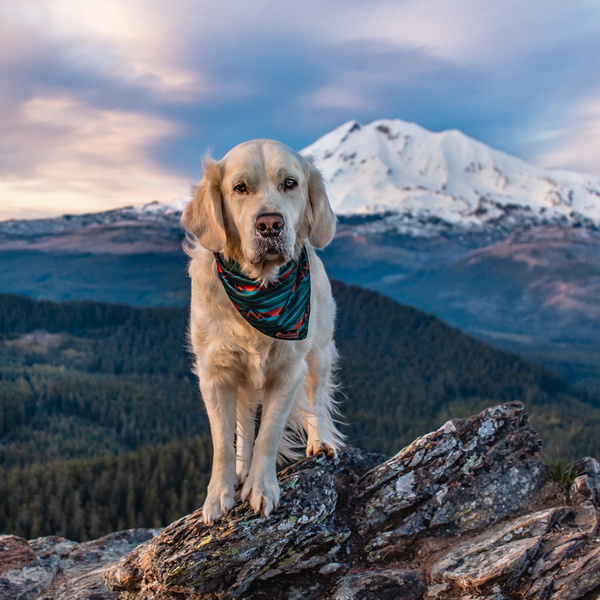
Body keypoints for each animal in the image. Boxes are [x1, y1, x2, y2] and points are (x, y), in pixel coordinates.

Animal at [182, 138, 342, 524]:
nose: (270, 224)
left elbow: (269, 432)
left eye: (290, 183)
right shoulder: (215, 373)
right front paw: (219, 495)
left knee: (316, 398)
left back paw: (321, 442)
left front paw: (261, 488)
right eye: (240, 188)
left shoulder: (288, 371)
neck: (260, 291)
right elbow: (225, 441)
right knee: (243, 422)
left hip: (318, 351)